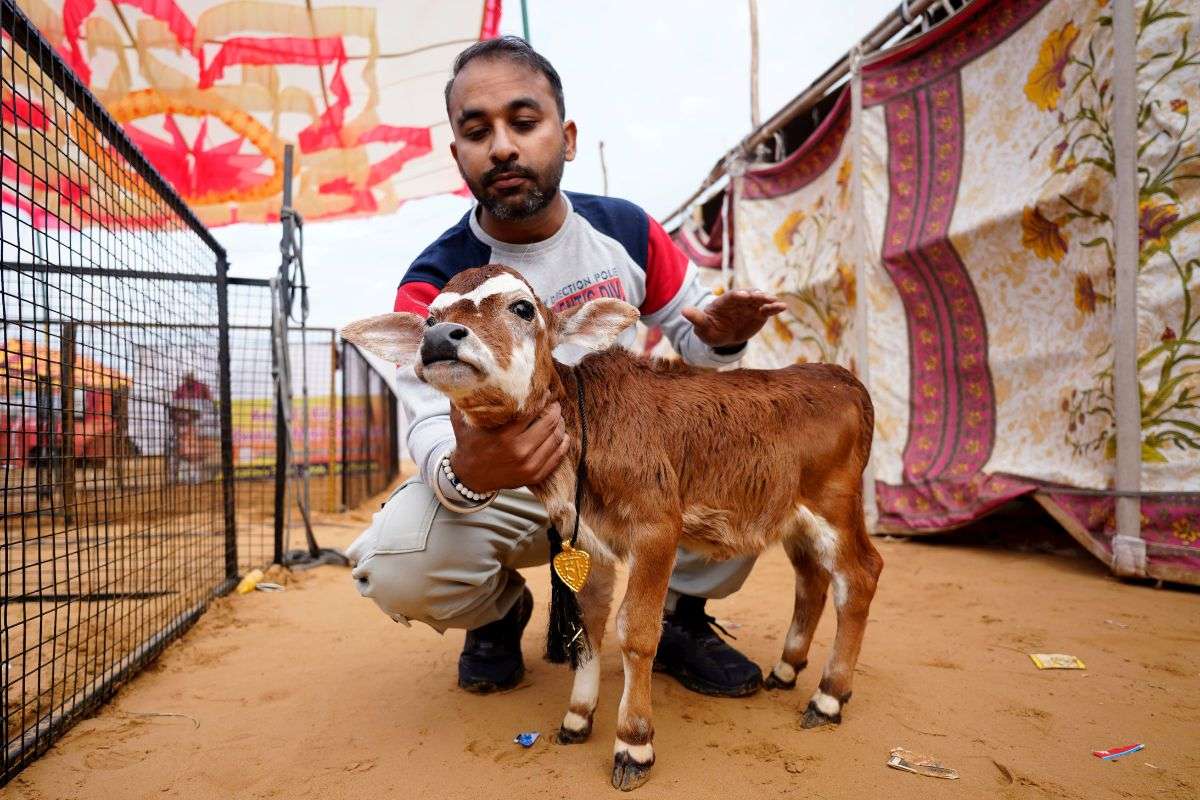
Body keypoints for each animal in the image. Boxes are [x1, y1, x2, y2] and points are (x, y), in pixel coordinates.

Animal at [342, 264, 882, 791]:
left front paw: (633, 742)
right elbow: (589, 625)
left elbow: (637, 632)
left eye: (523, 308)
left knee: (860, 575)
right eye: (431, 317)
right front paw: (578, 717)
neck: (583, 437)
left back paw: (828, 697)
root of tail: (839, 375)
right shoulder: (585, 540)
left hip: (835, 504)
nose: (440, 338)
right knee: (811, 579)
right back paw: (788, 669)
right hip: (794, 517)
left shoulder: (657, 528)